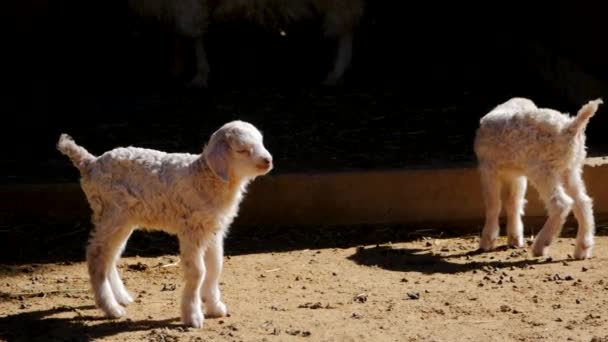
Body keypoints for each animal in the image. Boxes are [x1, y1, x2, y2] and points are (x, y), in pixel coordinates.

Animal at [57, 121, 276, 328]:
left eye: (261, 142)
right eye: (242, 150)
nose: (268, 161)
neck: (205, 177)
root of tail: (90, 163)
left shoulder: (213, 230)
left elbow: (215, 267)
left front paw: (215, 307)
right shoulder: (191, 230)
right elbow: (198, 271)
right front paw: (193, 316)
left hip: (124, 219)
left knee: (109, 255)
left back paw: (121, 298)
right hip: (112, 213)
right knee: (96, 254)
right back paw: (111, 308)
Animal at [476, 97, 604, 260]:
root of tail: (570, 127)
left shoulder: (489, 168)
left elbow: (493, 204)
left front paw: (487, 241)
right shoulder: (517, 174)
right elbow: (514, 202)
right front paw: (515, 239)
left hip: (542, 171)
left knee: (561, 204)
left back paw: (540, 246)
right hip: (570, 168)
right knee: (583, 201)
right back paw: (582, 249)